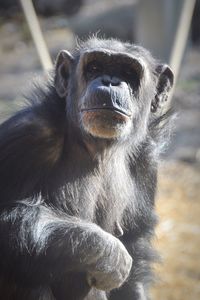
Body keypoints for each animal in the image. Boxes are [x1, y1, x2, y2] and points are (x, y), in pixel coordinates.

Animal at [0, 37, 173, 300]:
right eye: (94, 68)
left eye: (128, 73)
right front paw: (108, 253)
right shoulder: (26, 135)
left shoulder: (147, 160)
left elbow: (135, 244)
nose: (110, 81)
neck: (98, 147)